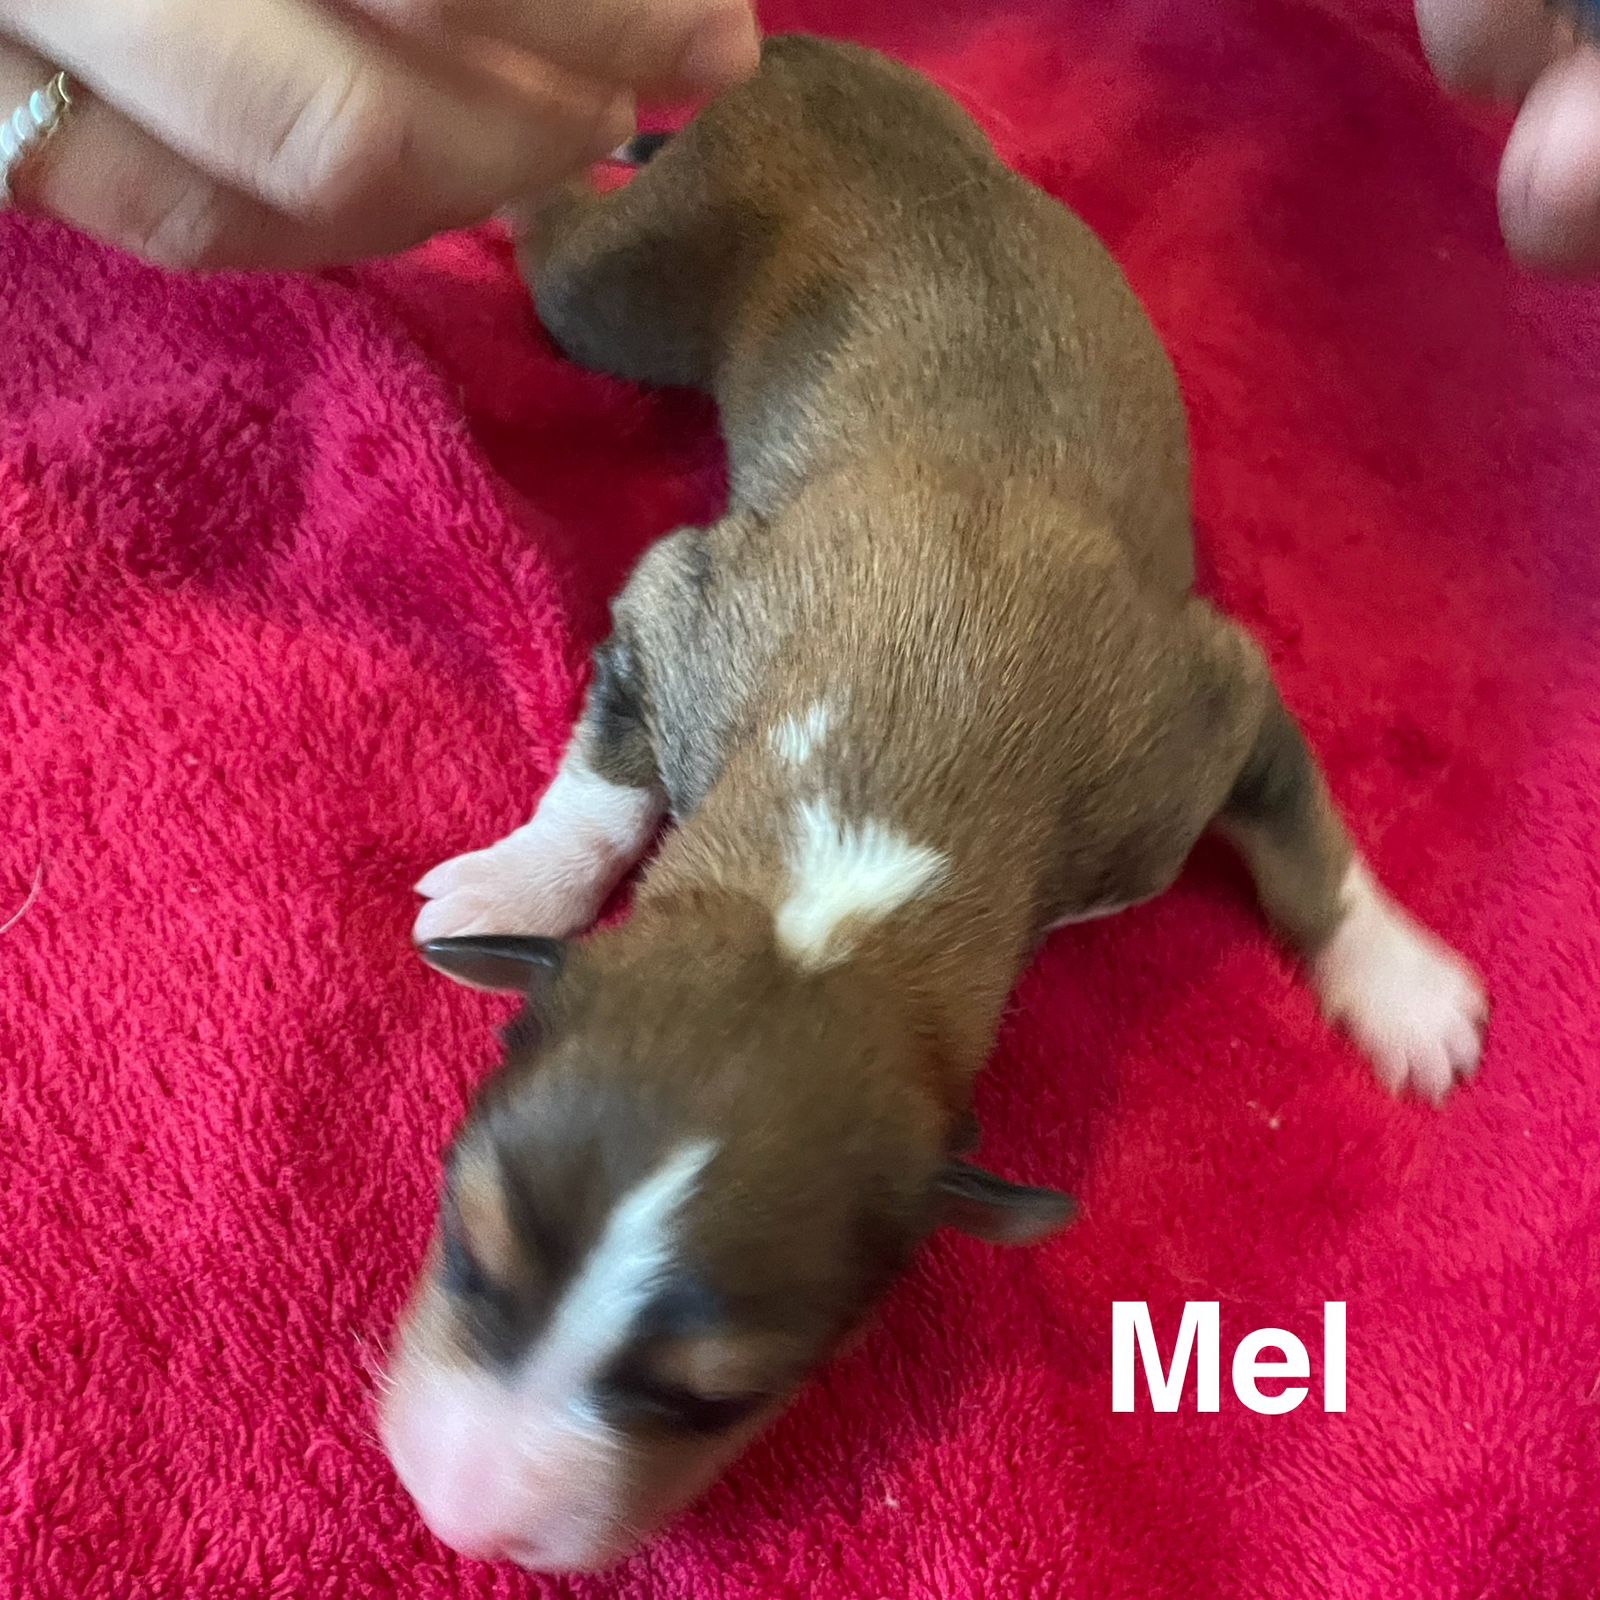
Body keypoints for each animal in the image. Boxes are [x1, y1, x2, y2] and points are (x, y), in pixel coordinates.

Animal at [379, 34, 1487, 1572]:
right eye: (465, 1249)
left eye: (713, 1399)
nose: (457, 1518)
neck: (842, 878)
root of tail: (792, 54)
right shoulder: (688, 607)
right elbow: (606, 769)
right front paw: (514, 880)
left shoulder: (1194, 716)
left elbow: (1305, 833)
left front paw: (1399, 984)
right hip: (625, 292)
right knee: (557, 239)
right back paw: (516, 171)